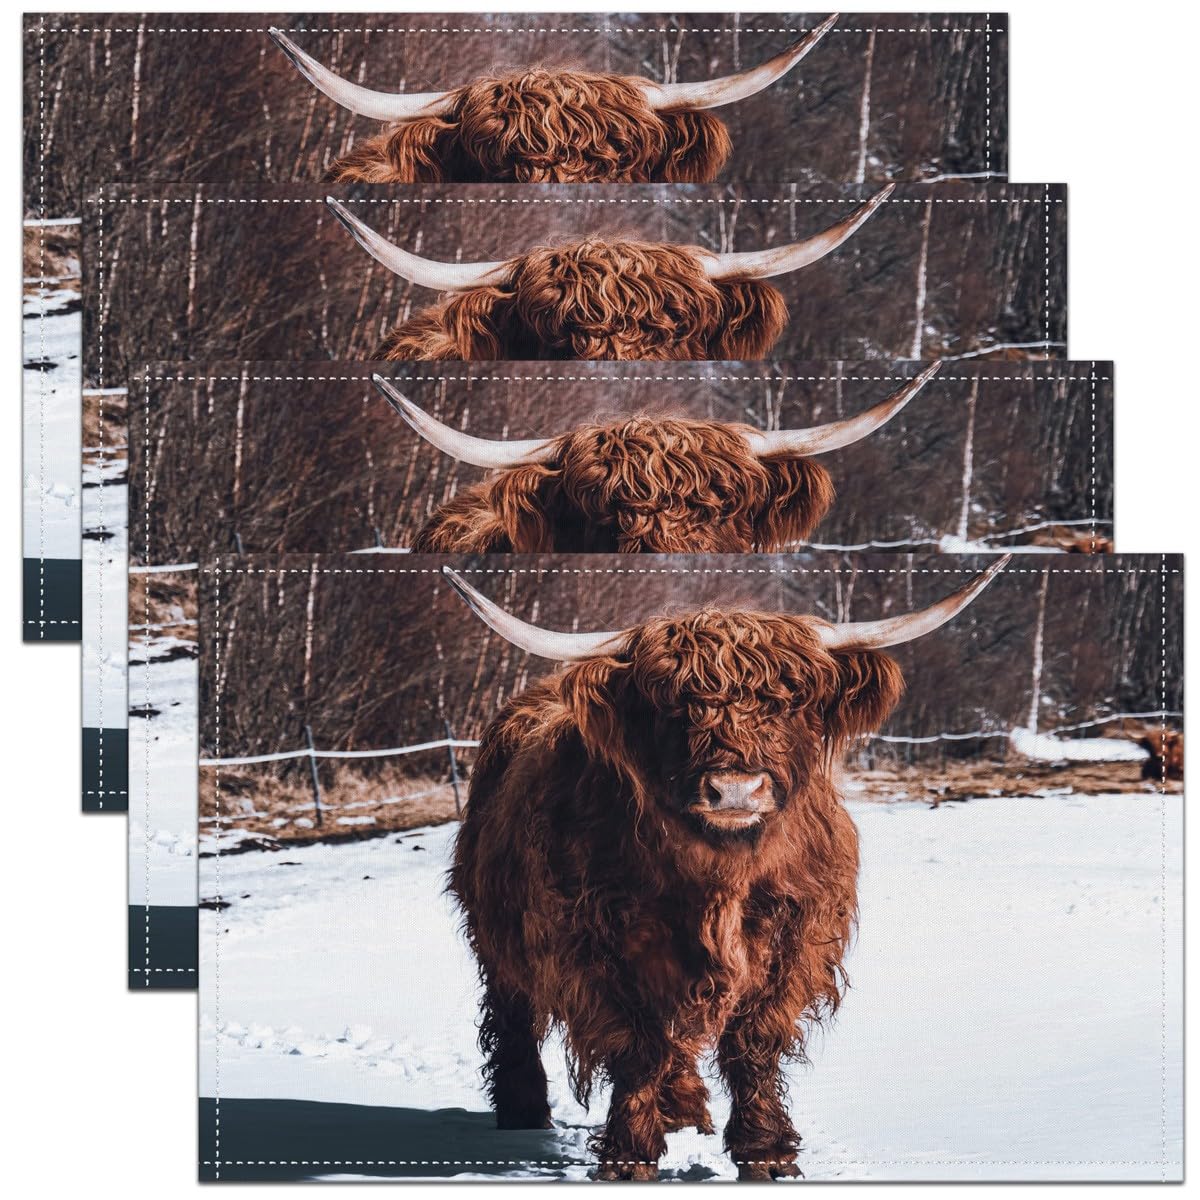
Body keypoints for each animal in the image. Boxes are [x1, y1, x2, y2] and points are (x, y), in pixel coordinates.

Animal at [444, 558, 1008, 1179]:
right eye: (673, 707)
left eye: (788, 701)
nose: (735, 788)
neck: (720, 876)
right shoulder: (591, 947)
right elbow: (636, 1044)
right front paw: (629, 1154)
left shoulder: (797, 937)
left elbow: (753, 1040)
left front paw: (766, 1151)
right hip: (495, 934)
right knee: (513, 1014)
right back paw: (526, 1112)